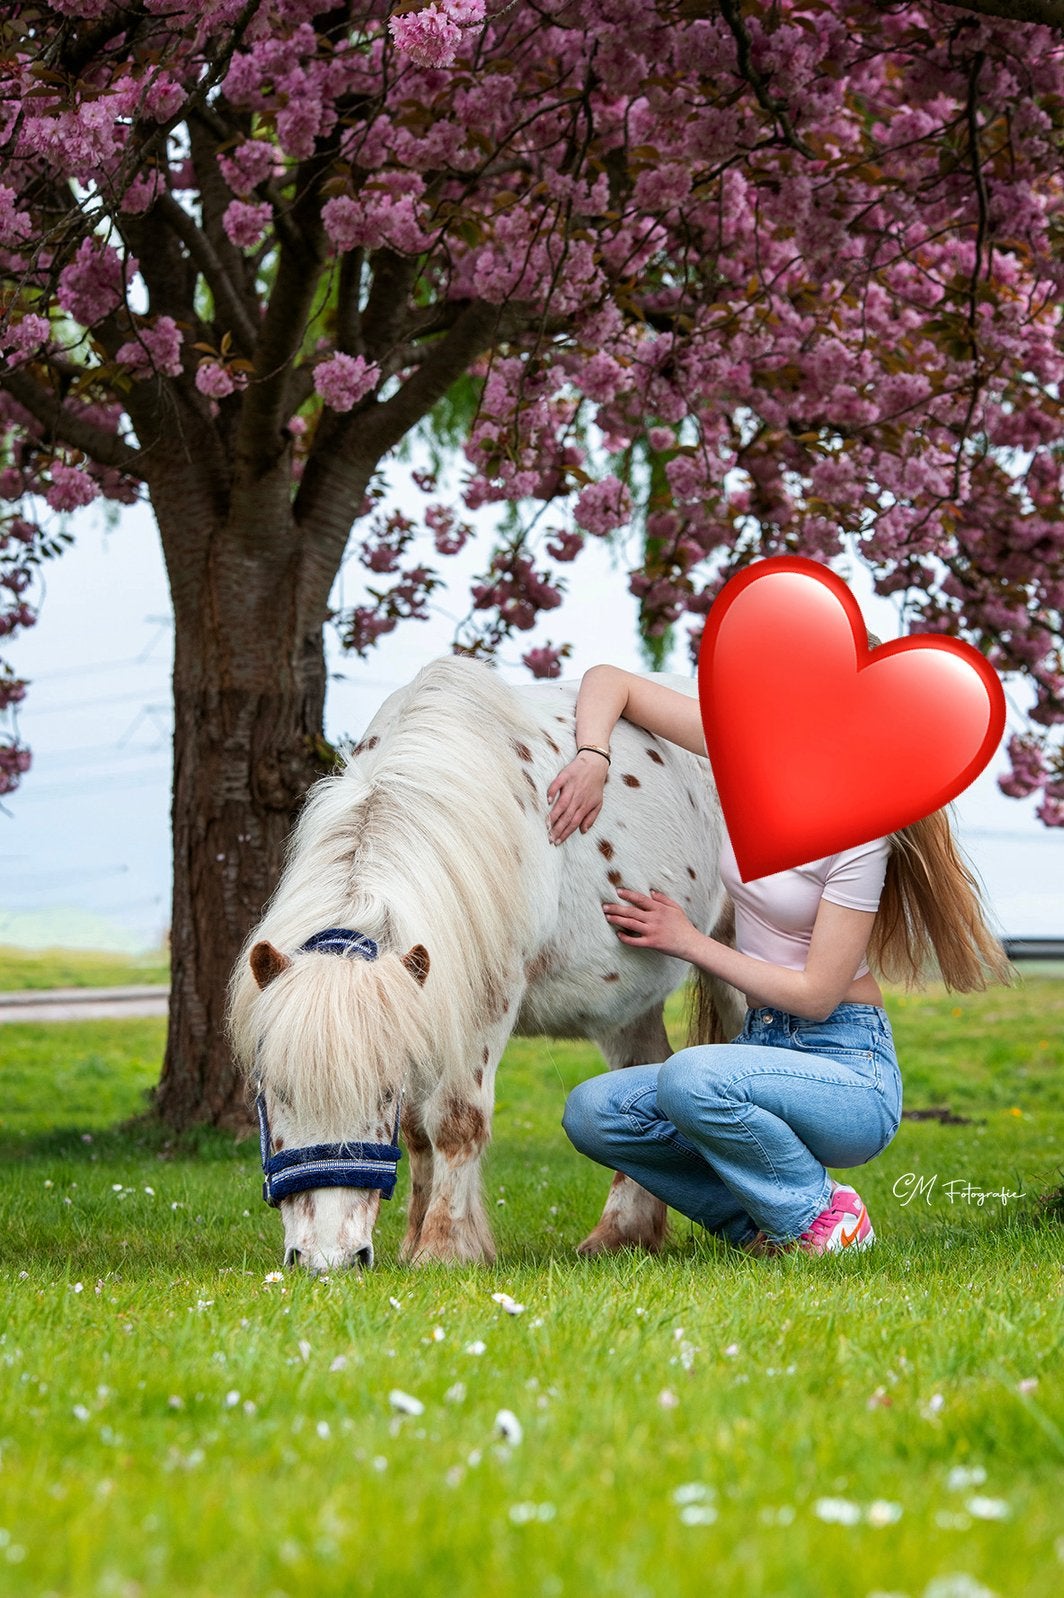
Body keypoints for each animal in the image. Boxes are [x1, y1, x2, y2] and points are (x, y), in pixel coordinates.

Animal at [228, 654, 743, 1272]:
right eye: (272, 1093)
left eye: (380, 1092)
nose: (328, 1258)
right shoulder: (424, 1001)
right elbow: (417, 1132)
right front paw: (414, 1240)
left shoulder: (486, 1002)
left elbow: (455, 1120)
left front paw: (444, 1248)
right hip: (627, 1005)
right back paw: (622, 1233)